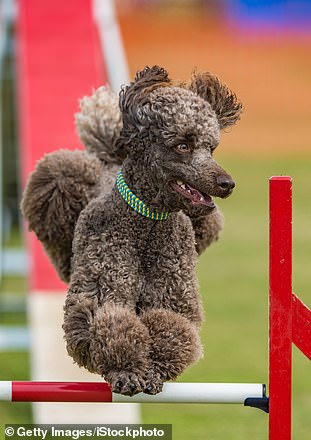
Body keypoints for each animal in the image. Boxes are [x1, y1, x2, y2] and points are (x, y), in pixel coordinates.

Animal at [21, 64, 244, 396]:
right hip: (58, 182)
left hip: (205, 223)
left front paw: (152, 371)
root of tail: (110, 158)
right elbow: (112, 323)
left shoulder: (174, 299)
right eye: (183, 145)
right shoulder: (102, 288)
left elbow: (172, 329)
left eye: (211, 148)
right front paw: (126, 371)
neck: (147, 226)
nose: (226, 183)